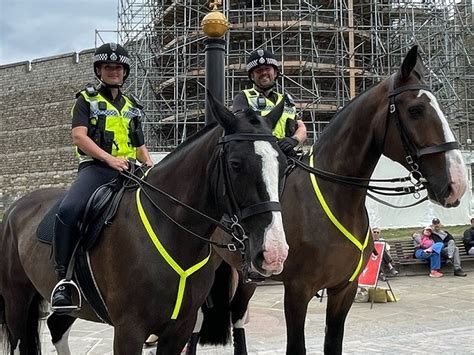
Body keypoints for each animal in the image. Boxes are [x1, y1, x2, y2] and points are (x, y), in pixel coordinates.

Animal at [0, 96, 288, 354]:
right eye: (235, 164)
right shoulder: (129, 331)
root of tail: (15, 207)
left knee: (56, 327)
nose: (274, 252)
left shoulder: (179, 329)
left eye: (282, 163)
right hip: (17, 301)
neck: (171, 230)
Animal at [195, 46, 466, 354]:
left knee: (237, 315)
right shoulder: (297, 291)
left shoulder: (343, 289)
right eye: (416, 110)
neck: (335, 197)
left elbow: (333, 342)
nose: (457, 183)